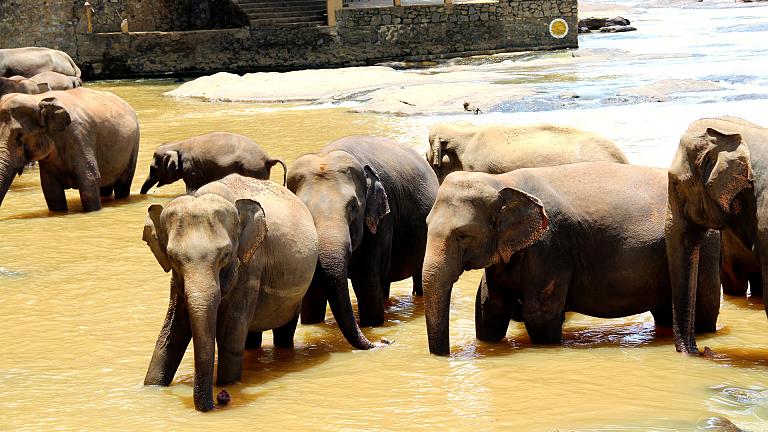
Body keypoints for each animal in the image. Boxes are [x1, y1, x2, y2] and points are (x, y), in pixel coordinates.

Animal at [0, 88, 140, 212]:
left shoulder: (80, 135)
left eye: (19, 136)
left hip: (134, 145)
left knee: (123, 184)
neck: (38, 98)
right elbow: (51, 190)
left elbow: (89, 180)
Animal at [140, 132, 287, 194]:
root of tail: (268, 158)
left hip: (253, 169)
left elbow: (191, 188)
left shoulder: (190, 168)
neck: (178, 143)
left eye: (153, 168)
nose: (144, 195)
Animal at [143, 174, 319, 412]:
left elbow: (230, 336)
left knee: (282, 330)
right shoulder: (177, 282)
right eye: (172, 258)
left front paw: (227, 384)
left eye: (225, 255)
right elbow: (171, 335)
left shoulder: (250, 266)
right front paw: (151, 387)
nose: (219, 400)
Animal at [287, 136, 439, 349]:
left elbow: (366, 282)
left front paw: (373, 325)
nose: (384, 341)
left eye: (352, 207)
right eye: (304, 208)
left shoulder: (381, 222)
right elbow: (313, 289)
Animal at [423, 162, 721, 356]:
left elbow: (540, 315)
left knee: (704, 311)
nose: (447, 356)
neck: (502, 181)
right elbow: (488, 308)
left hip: (705, 249)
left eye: (462, 235)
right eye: (425, 225)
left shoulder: (549, 247)